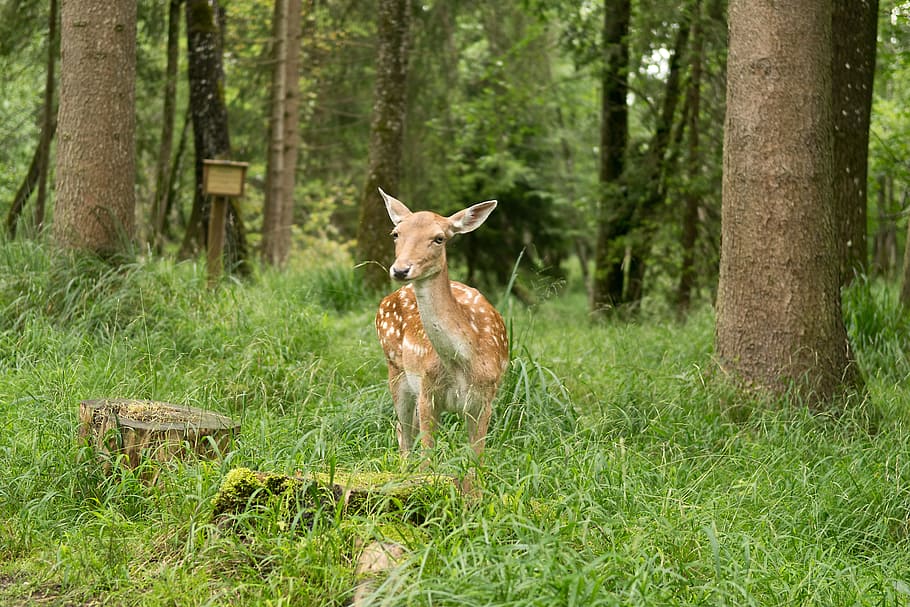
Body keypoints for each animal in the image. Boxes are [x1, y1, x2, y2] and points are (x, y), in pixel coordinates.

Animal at [375, 188, 509, 467]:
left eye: (439, 238)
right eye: (396, 234)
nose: (400, 269)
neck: (462, 363)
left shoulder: (485, 400)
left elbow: (476, 463)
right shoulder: (427, 393)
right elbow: (427, 458)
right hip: (396, 369)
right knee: (403, 433)